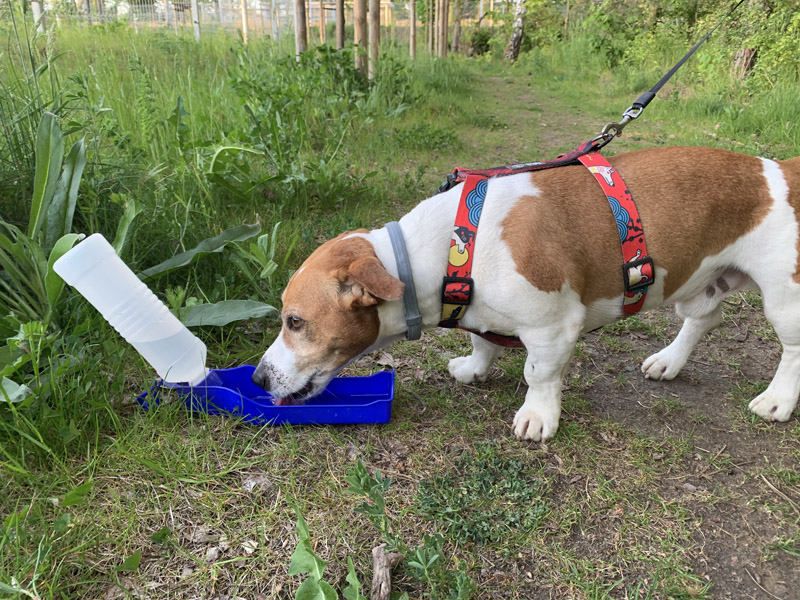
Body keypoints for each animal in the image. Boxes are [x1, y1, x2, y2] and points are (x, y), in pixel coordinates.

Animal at [252, 146, 800, 440]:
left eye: (295, 321)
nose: (257, 378)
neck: (453, 246)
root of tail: (780, 170)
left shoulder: (551, 328)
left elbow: (539, 373)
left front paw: (538, 415)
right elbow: (482, 340)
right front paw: (475, 367)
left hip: (784, 299)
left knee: (791, 349)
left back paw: (777, 399)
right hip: (698, 282)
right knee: (703, 318)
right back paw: (669, 360)